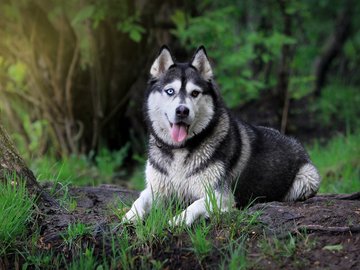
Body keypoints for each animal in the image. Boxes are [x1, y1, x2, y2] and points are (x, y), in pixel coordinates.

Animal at [124, 46, 320, 226]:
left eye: (195, 93)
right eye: (170, 91)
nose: (182, 111)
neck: (180, 149)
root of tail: (294, 141)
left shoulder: (220, 195)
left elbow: (195, 205)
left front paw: (177, 220)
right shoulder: (157, 189)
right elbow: (140, 199)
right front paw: (130, 215)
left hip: (307, 179)